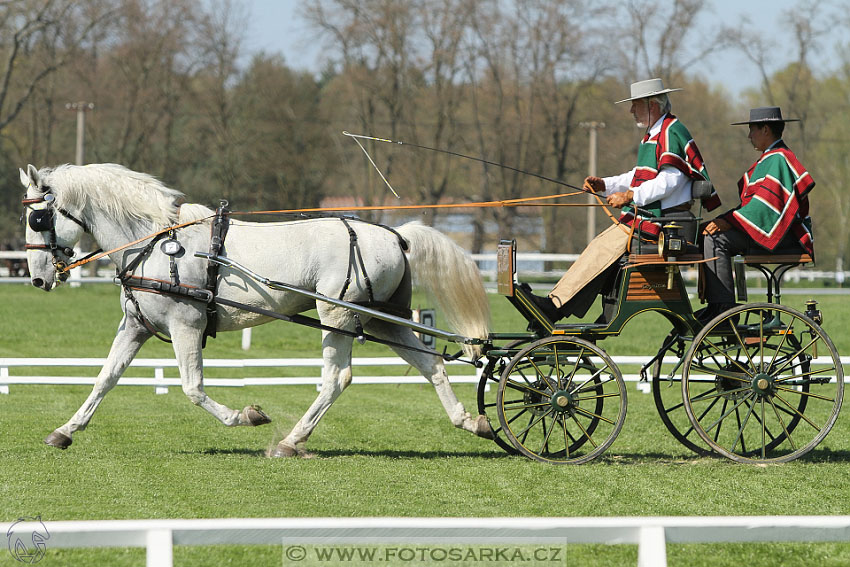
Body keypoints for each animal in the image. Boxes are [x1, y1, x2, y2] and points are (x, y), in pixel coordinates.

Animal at [19, 164, 490, 458]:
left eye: (37, 219)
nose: (38, 278)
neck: (155, 241)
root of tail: (395, 234)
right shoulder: (135, 325)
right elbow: (105, 379)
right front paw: (66, 431)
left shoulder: (186, 324)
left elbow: (192, 388)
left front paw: (245, 416)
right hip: (381, 319)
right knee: (432, 366)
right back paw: (471, 421)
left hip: (337, 317)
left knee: (336, 378)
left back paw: (291, 441)